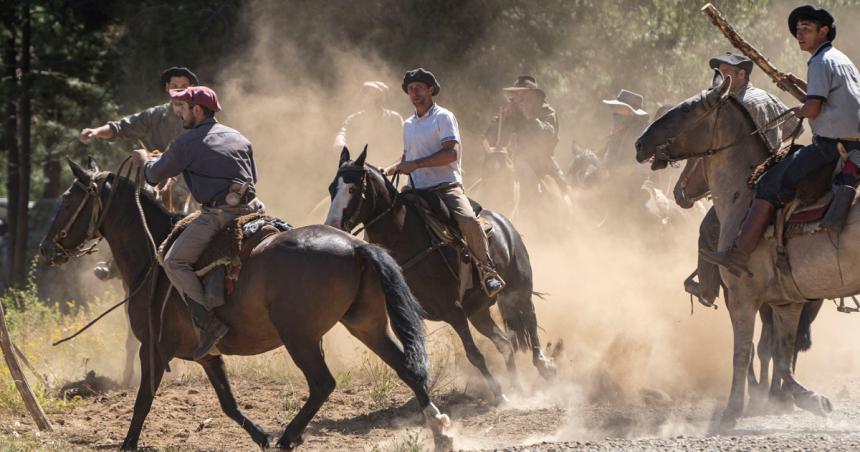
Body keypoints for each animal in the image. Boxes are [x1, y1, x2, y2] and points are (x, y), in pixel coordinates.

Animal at [38, 159, 456, 448]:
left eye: (69, 199)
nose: (45, 248)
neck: (153, 257)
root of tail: (355, 246)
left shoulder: (153, 348)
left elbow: (143, 401)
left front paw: (127, 444)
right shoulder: (207, 355)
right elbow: (228, 403)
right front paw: (261, 437)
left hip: (300, 337)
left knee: (322, 383)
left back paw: (288, 438)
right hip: (365, 323)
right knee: (406, 368)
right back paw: (440, 431)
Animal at [324, 147, 556, 400]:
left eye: (353, 188)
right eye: (331, 188)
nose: (332, 225)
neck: (406, 237)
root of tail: (504, 223)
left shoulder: (453, 309)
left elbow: (474, 354)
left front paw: (498, 393)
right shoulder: (409, 315)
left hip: (519, 289)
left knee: (530, 319)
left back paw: (543, 366)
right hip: (478, 311)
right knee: (505, 342)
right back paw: (516, 386)